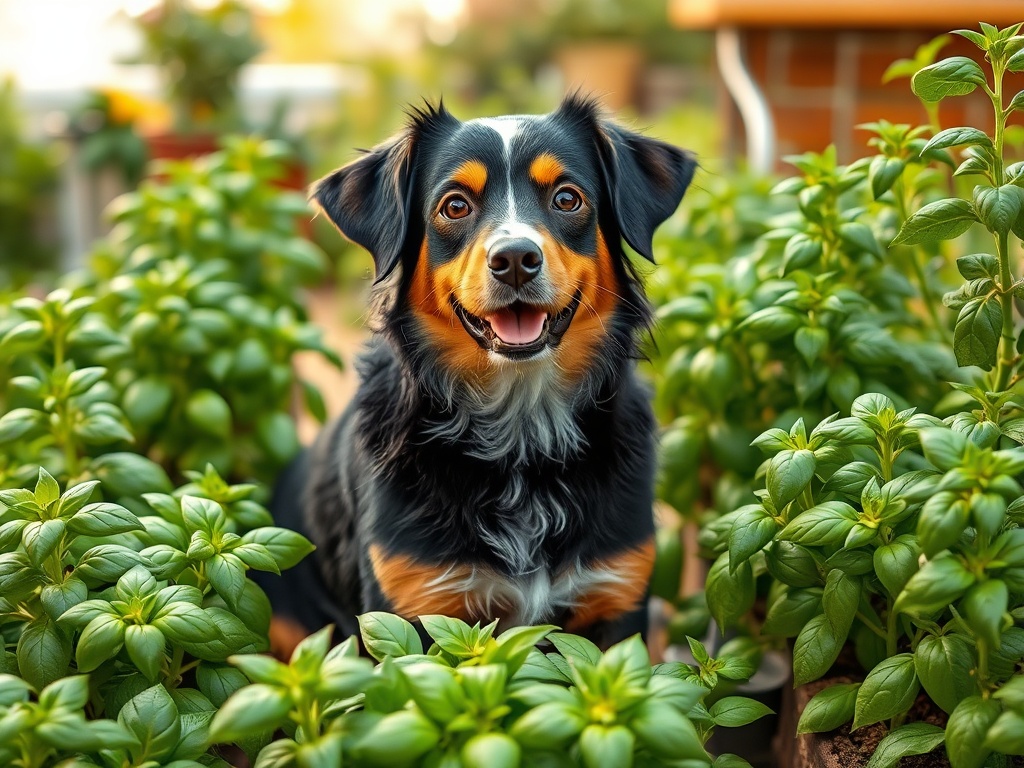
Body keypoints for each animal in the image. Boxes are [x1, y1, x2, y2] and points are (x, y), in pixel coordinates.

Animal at [262, 93, 696, 651]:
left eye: (567, 199)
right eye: (455, 206)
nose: (514, 258)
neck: (522, 439)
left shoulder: (617, 597)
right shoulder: (410, 608)